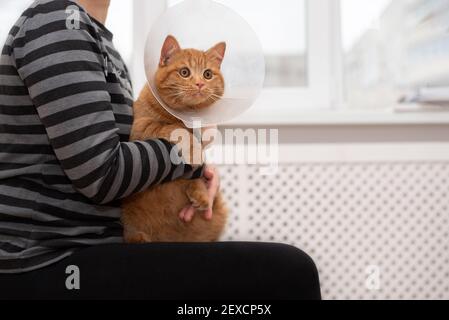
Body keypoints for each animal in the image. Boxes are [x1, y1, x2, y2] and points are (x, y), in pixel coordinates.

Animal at [121, 35, 228, 242]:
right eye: (184, 72)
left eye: (207, 74)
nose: (200, 84)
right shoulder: (139, 128)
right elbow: (174, 128)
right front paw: (193, 152)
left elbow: (198, 174)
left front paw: (200, 193)